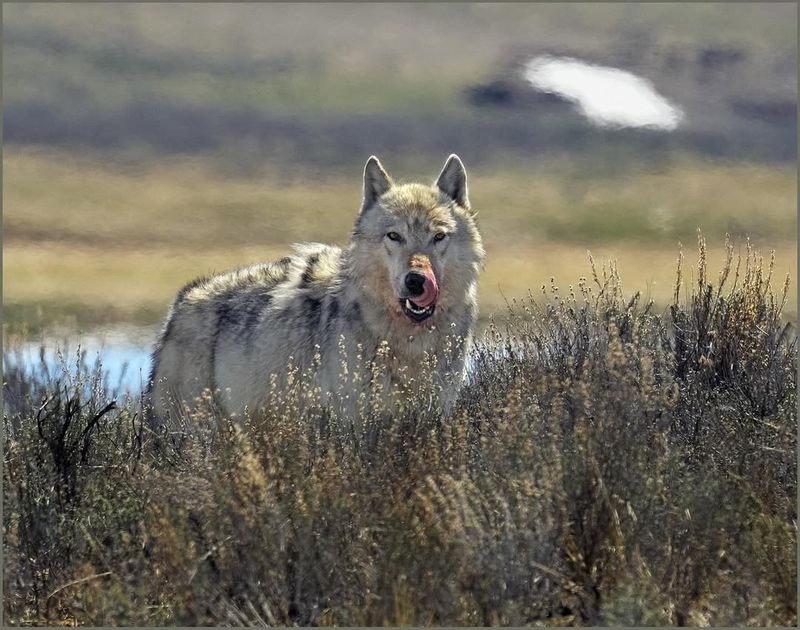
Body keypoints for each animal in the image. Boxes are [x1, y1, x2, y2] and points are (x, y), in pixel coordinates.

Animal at [148, 156, 488, 428]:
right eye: (394, 236)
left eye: (438, 236)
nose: (416, 280)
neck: (410, 342)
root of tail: (181, 301)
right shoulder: (355, 422)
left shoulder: (433, 416)